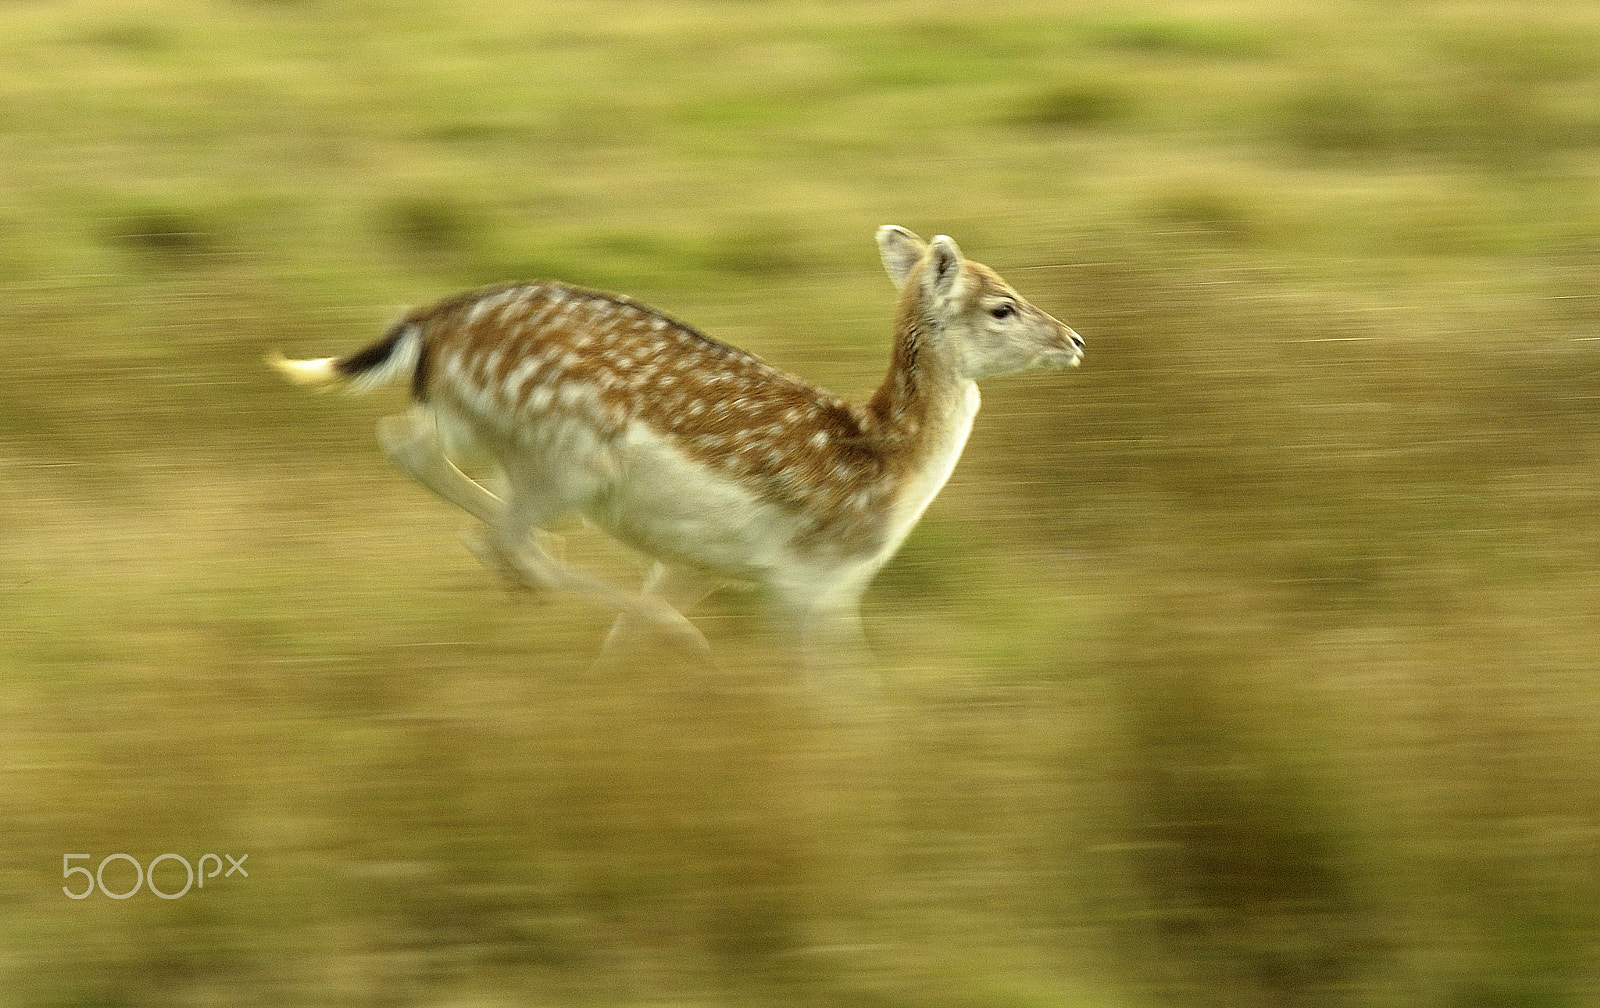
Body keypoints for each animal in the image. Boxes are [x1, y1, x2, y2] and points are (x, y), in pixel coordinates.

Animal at [268, 230, 1081, 672]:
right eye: (1001, 306)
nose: (1074, 339)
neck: (888, 468)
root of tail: (431, 319)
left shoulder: (698, 565)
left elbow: (624, 639)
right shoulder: (812, 581)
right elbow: (838, 694)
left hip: (504, 441)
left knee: (414, 449)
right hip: (567, 458)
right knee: (498, 534)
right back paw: (675, 635)